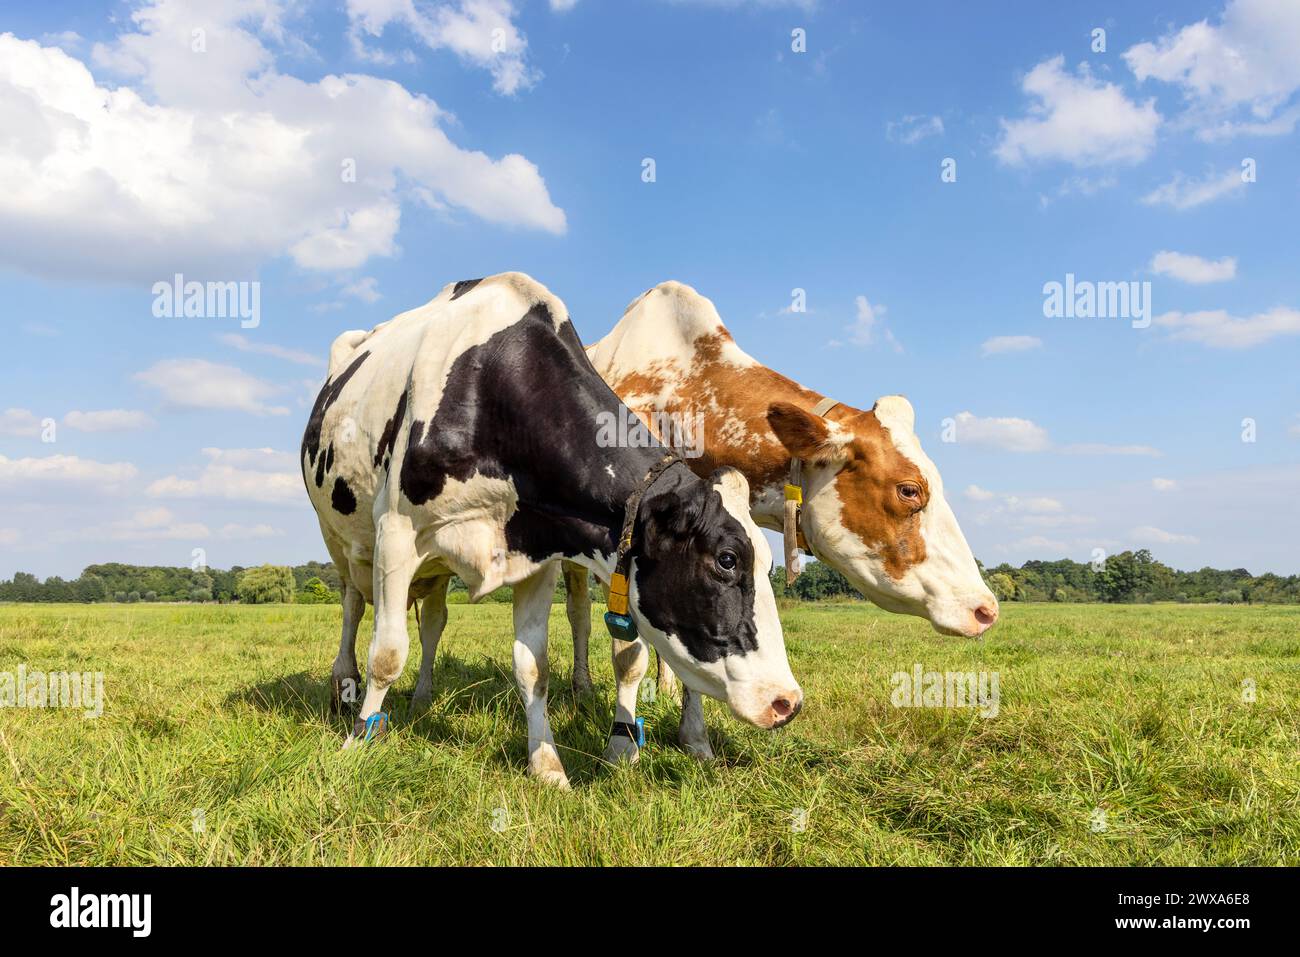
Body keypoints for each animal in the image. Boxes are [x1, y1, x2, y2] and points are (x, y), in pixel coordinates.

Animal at [301, 273, 800, 790]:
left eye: (767, 563)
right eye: (726, 559)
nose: (787, 701)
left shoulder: (535, 554)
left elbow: (533, 666)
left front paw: (547, 765)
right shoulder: (397, 533)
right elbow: (386, 653)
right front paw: (357, 744)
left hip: (435, 568)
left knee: (434, 620)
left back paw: (422, 698)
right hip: (339, 539)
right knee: (352, 606)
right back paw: (344, 689)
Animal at [564, 280, 998, 759]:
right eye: (909, 490)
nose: (986, 608)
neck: (680, 398)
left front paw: (694, 737)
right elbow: (627, 656)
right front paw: (621, 747)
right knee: (578, 614)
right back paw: (582, 687)